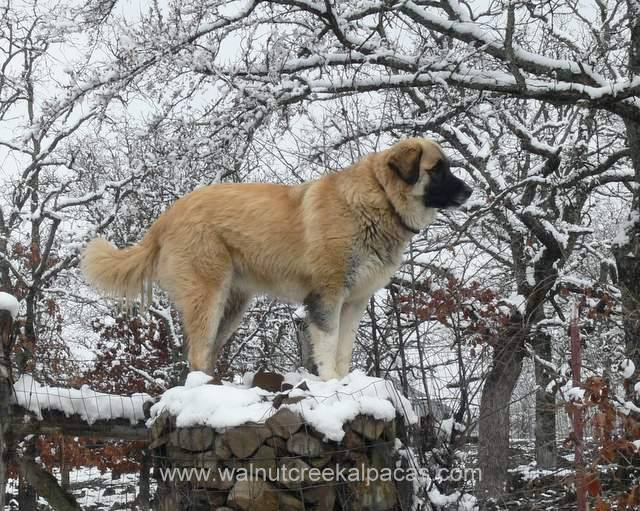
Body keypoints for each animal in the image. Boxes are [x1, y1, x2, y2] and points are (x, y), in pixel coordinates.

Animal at [81, 139, 470, 380]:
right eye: (437, 169)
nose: (469, 190)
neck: (380, 199)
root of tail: (167, 216)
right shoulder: (327, 295)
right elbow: (328, 345)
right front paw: (330, 383)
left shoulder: (355, 301)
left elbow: (344, 349)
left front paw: (345, 383)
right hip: (208, 295)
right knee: (197, 354)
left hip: (232, 307)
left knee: (206, 355)